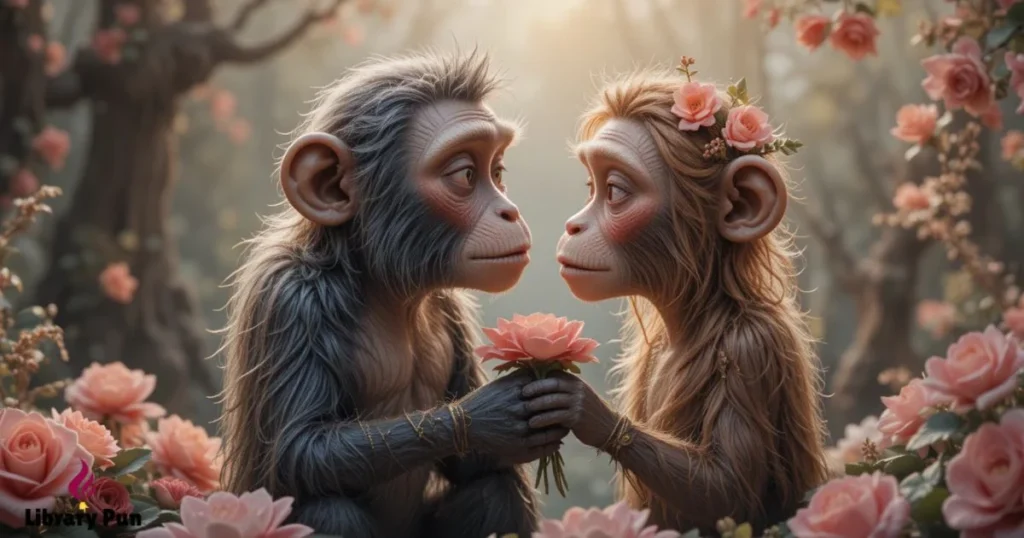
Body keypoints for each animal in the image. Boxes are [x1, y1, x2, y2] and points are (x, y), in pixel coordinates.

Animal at [216, 51, 576, 538]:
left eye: (497, 172)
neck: (379, 282)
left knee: (493, 491)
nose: (509, 210)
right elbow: (299, 448)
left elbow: (477, 467)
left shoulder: (451, 310)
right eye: (466, 174)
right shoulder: (290, 301)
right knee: (330, 509)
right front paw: (494, 414)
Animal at [523, 69, 830, 534]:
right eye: (590, 188)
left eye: (614, 191)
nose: (573, 226)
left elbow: (726, 489)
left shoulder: (751, 346)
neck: (701, 314)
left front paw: (580, 407)